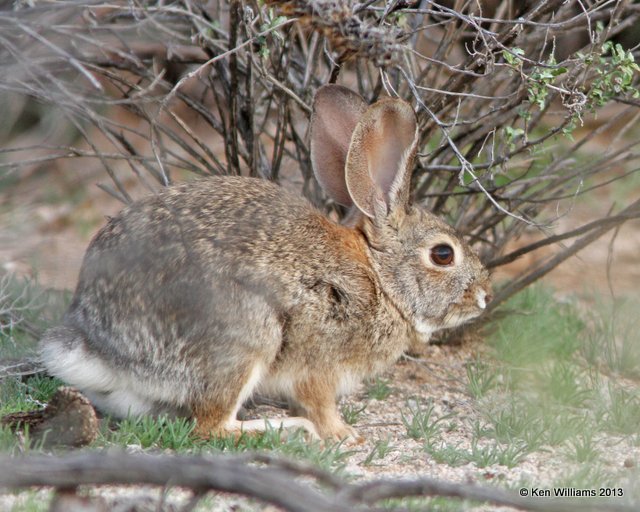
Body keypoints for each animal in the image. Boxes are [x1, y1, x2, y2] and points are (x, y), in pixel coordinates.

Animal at [38, 84, 490, 440]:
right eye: (443, 254)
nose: (484, 295)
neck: (380, 277)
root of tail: (99, 347)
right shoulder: (319, 362)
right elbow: (320, 404)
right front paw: (344, 434)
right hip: (247, 338)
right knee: (211, 427)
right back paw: (288, 430)